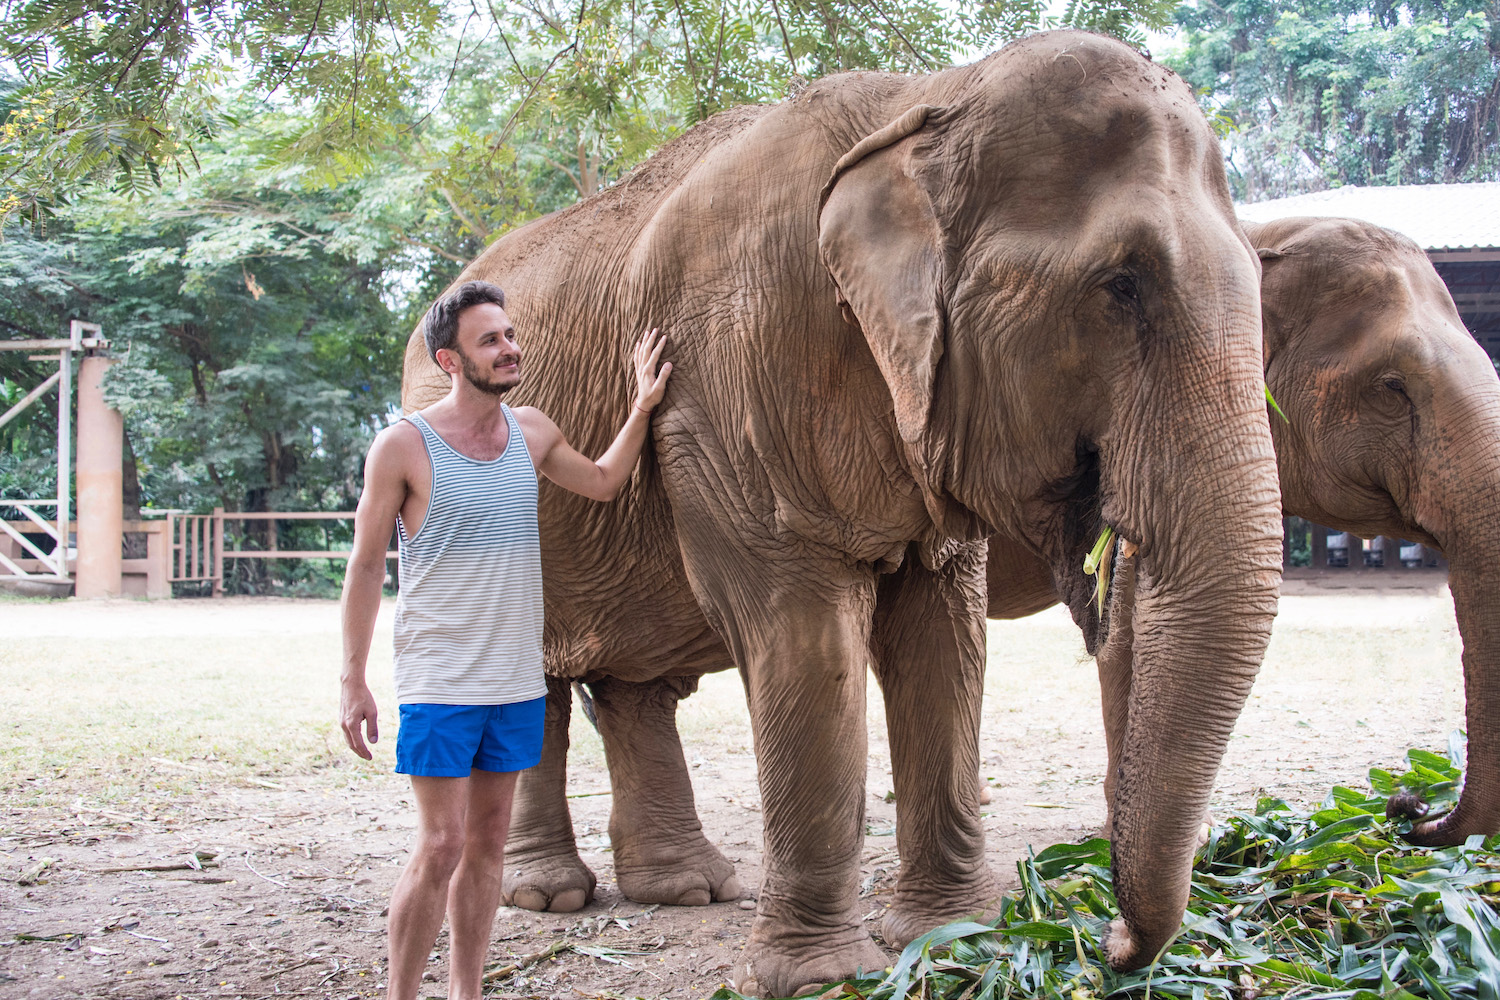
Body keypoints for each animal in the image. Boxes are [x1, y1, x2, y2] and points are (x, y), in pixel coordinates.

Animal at [405, 29, 1284, 995]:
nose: (1116, 945)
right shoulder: (728, 377)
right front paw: (823, 977)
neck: (928, 99)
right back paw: (550, 896)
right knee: (539, 685)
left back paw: (687, 888)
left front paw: (954, 935)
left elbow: (944, 636)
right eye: (1121, 285)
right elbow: (803, 630)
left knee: (637, 686)